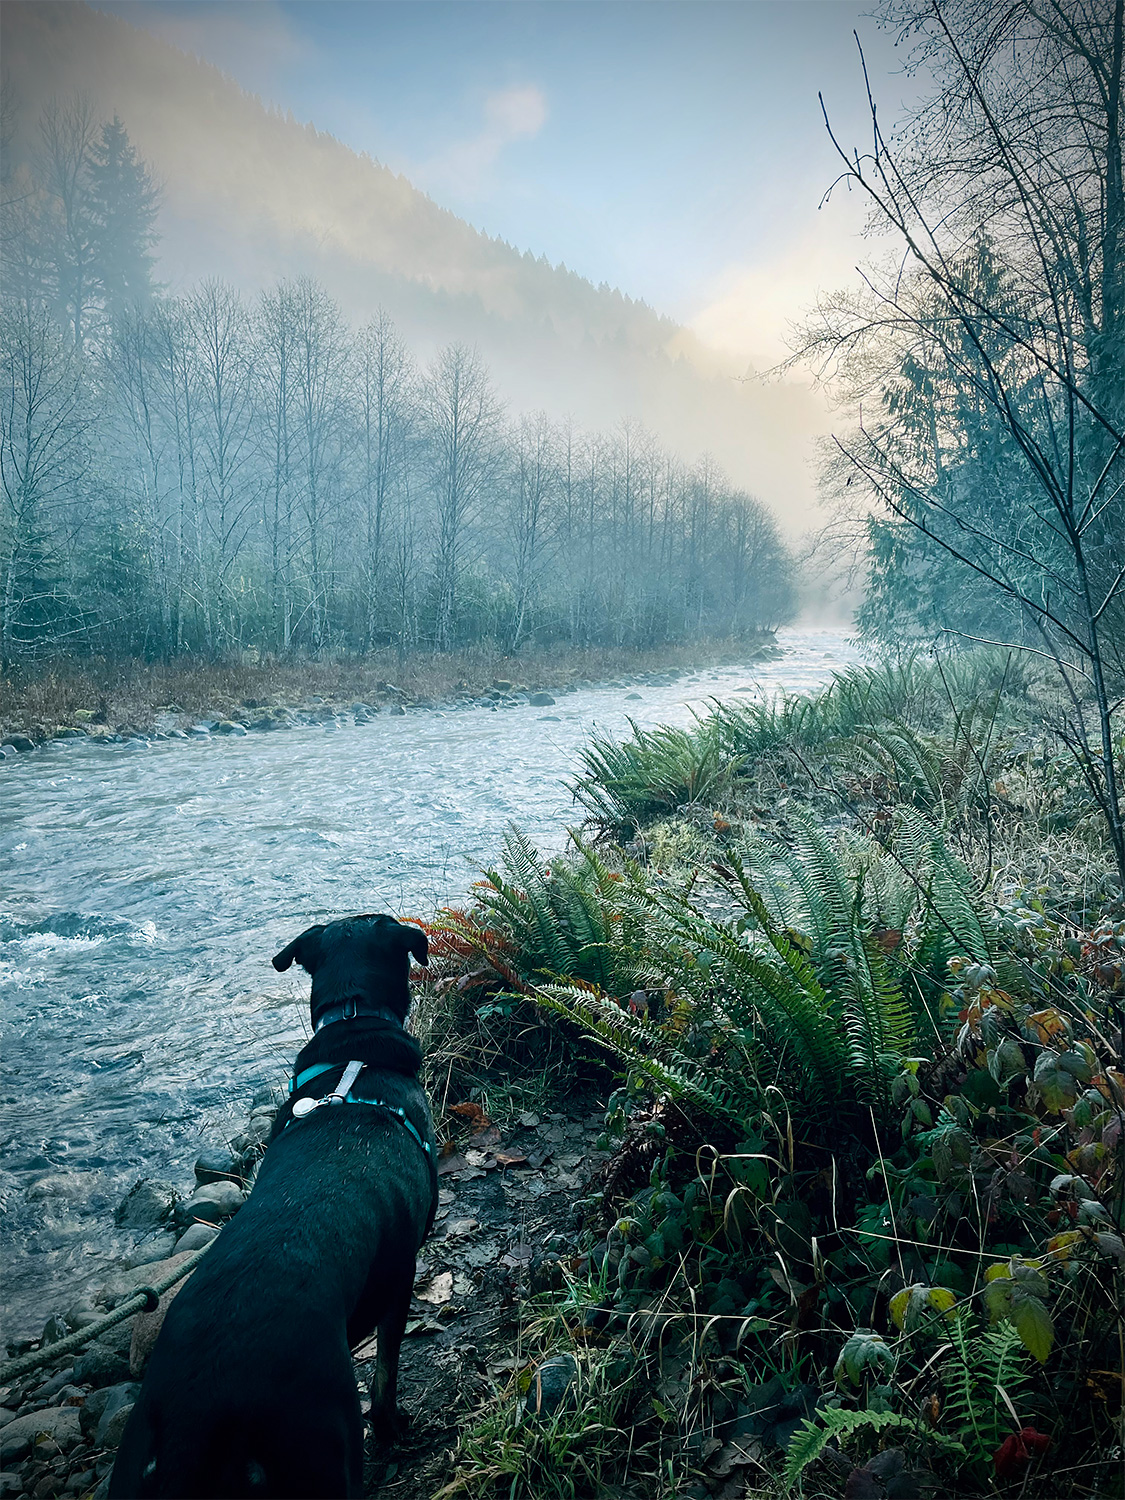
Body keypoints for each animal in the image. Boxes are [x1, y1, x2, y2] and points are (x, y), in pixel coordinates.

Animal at [108, 912, 435, 1500]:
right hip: (321, 1447)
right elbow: (384, 1376)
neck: (354, 1047)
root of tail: (197, 1411)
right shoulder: (400, 1278)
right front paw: (394, 1428)